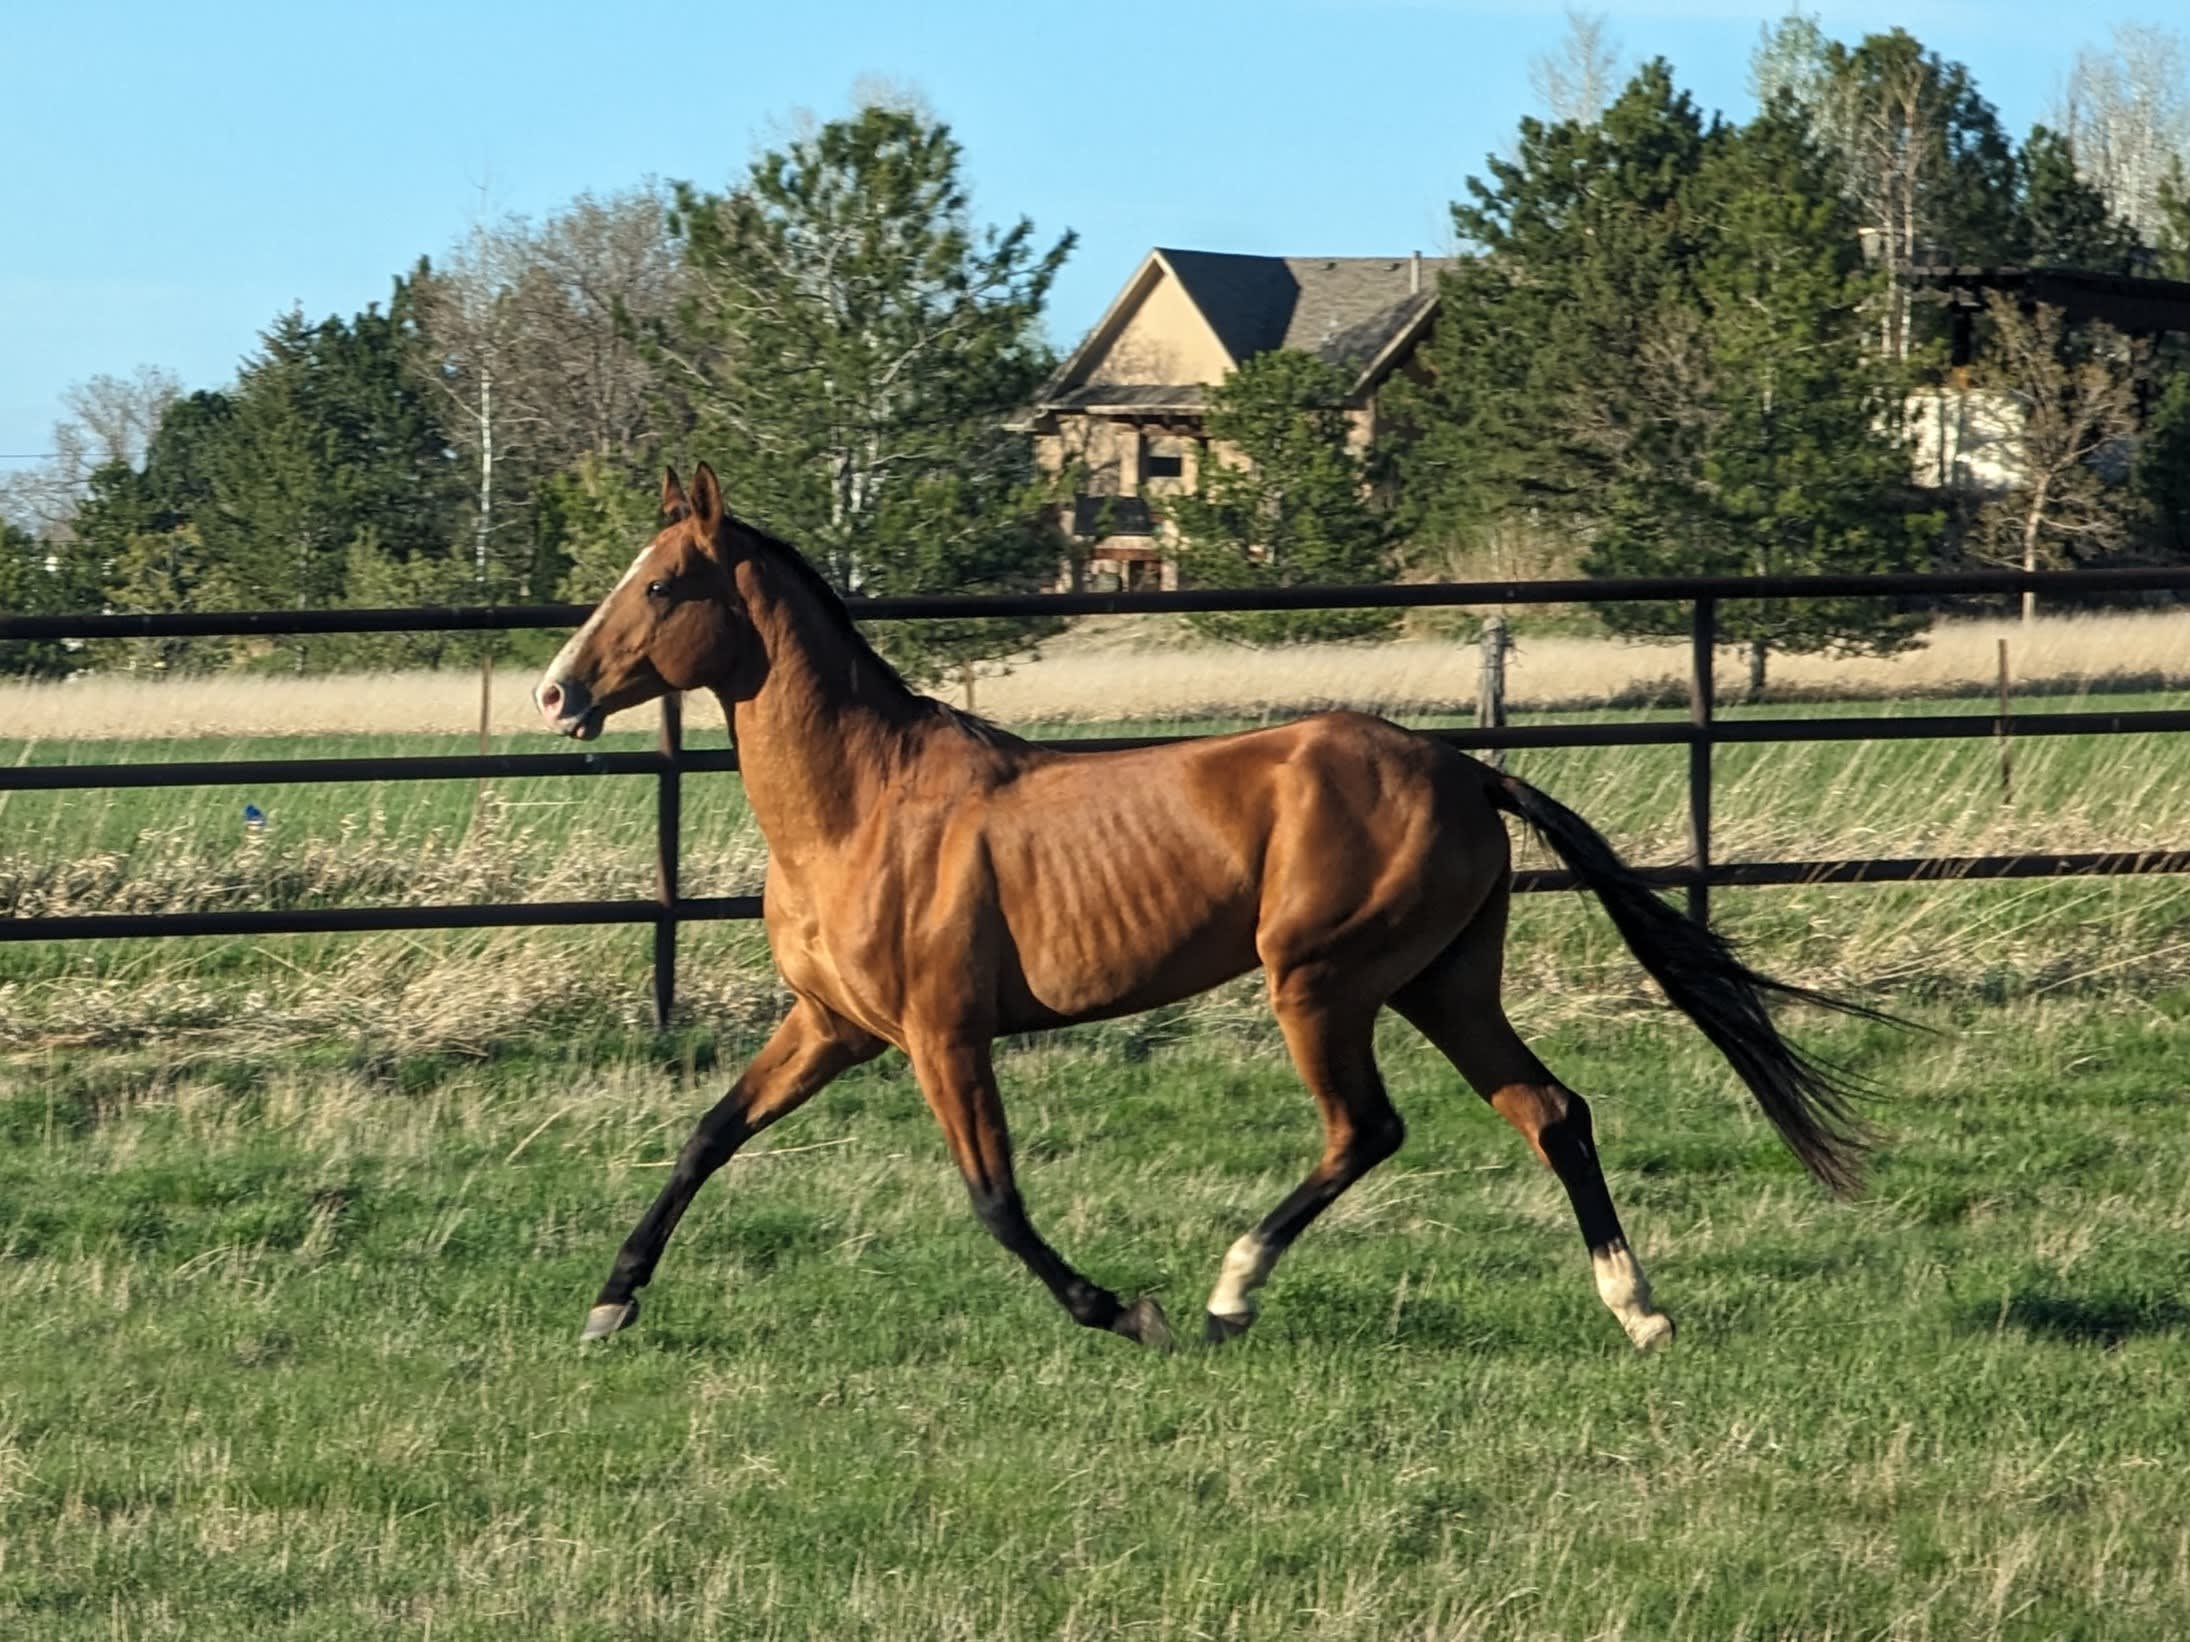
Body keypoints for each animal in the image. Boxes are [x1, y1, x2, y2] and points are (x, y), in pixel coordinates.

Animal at [535, 465, 1881, 1353]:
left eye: (664, 585)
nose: (555, 693)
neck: (863, 806)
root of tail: (1463, 766)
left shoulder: (941, 1034)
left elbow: (995, 1199)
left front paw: (1126, 1309)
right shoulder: (831, 1024)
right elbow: (709, 1136)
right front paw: (609, 1301)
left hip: (1322, 980)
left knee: (1367, 1129)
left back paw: (1233, 1290)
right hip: (1442, 981)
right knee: (1550, 1111)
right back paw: (1638, 1310)